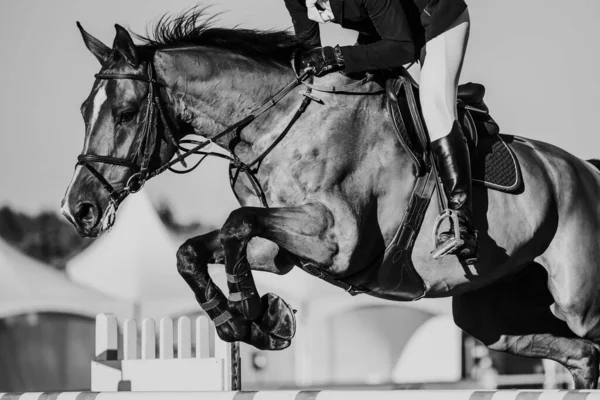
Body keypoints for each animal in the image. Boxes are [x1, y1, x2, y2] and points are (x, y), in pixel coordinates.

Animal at [59, 10, 600, 388]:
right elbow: (194, 249)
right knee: (580, 355)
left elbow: (236, 222)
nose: (78, 209)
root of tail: (585, 169)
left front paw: (258, 311)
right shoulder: (275, 249)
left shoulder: (338, 242)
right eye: (84, 109)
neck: (277, 121)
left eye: (127, 113)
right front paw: (245, 320)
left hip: (578, 301)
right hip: (489, 311)